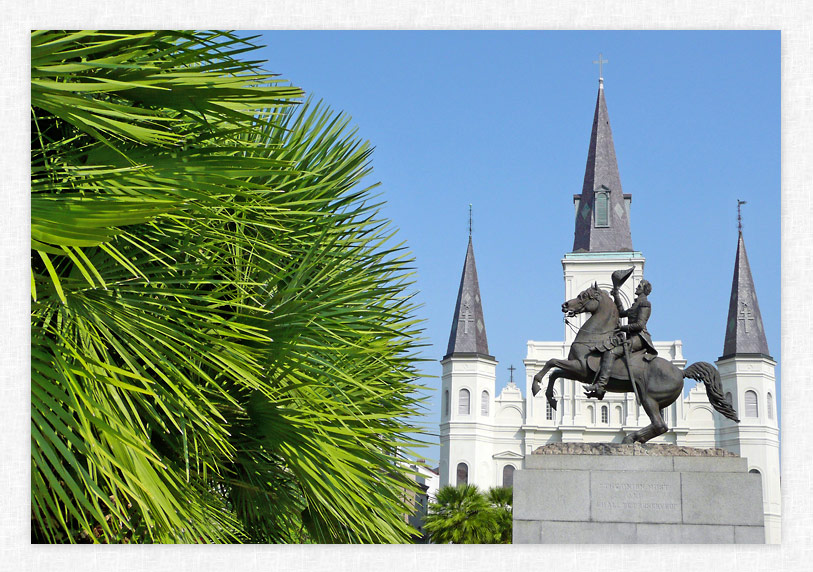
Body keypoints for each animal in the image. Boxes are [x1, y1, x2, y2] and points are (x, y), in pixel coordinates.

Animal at [528, 284, 740, 444]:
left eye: (583, 296)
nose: (565, 305)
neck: (594, 336)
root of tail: (681, 372)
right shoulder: (577, 372)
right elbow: (554, 371)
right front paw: (550, 399)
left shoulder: (580, 368)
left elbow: (552, 363)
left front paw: (536, 385)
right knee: (660, 426)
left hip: (648, 399)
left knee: (660, 425)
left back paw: (631, 438)